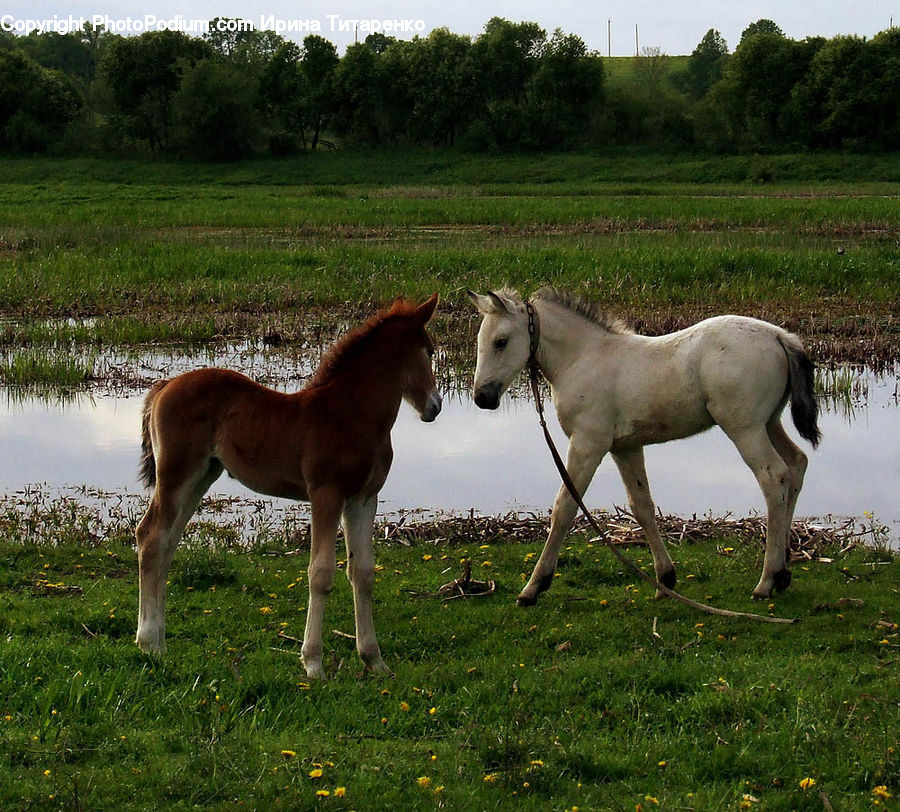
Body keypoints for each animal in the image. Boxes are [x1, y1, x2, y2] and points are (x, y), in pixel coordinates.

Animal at [135, 294, 442, 679]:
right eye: (429, 350)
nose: (435, 406)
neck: (352, 414)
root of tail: (164, 386)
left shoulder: (363, 498)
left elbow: (363, 572)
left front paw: (374, 660)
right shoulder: (325, 493)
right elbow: (320, 573)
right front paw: (313, 663)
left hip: (202, 475)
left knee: (168, 543)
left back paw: (160, 642)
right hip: (177, 473)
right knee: (150, 537)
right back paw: (148, 643)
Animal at [468, 287, 820, 605]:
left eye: (501, 341)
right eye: (480, 341)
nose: (482, 397)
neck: (582, 359)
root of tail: (780, 336)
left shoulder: (588, 444)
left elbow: (565, 506)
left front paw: (534, 587)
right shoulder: (625, 447)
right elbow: (642, 507)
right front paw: (665, 579)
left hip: (744, 427)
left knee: (774, 476)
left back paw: (767, 580)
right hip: (769, 422)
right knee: (796, 464)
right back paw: (783, 573)